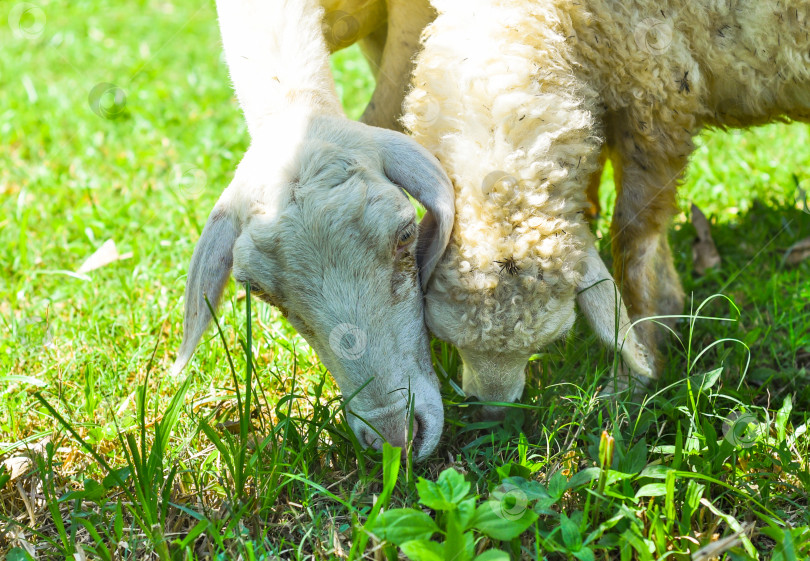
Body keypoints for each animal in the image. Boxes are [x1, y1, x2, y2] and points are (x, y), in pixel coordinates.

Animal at [404, 0, 808, 412]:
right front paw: (667, 310)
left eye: (549, 342)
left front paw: (635, 368)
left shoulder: (658, 97)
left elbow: (634, 239)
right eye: (446, 337)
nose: (494, 412)